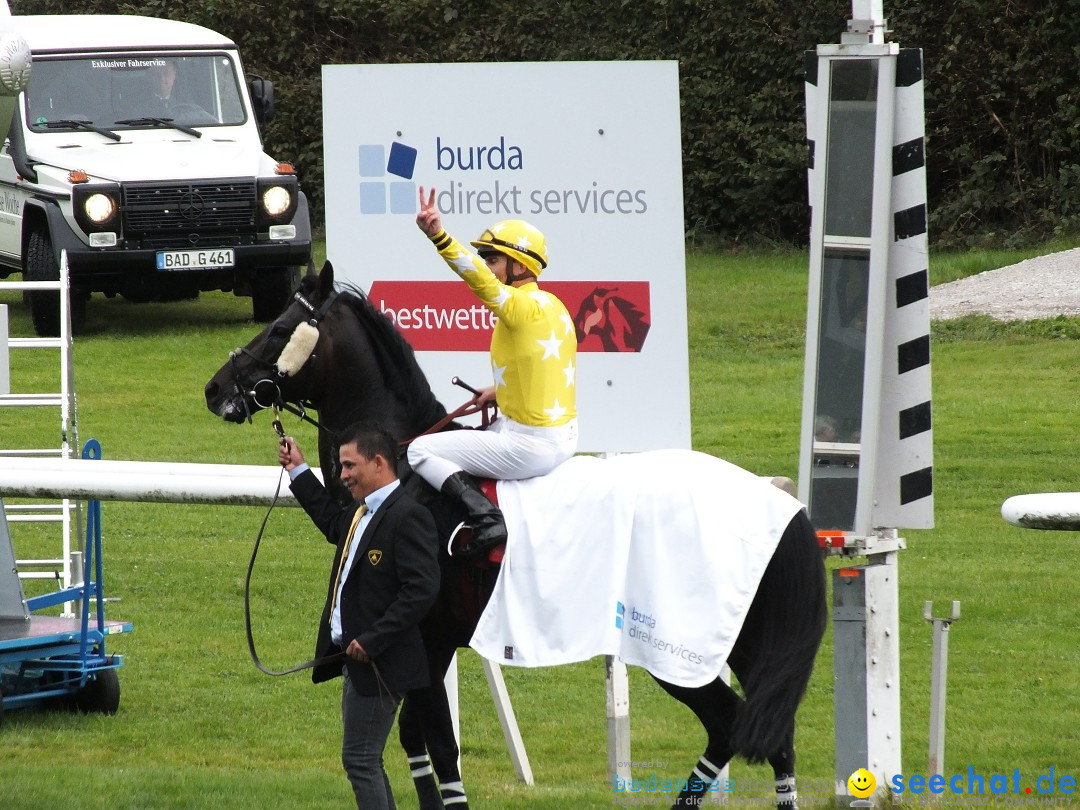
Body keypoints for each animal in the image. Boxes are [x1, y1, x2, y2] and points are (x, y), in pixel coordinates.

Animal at [204, 263, 825, 807]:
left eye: (279, 327)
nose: (214, 389)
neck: (406, 471)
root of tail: (780, 504)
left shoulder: (427, 641)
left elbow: (442, 751)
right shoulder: (416, 650)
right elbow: (414, 743)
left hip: (677, 650)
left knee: (730, 725)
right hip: (746, 647)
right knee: (774, 738)